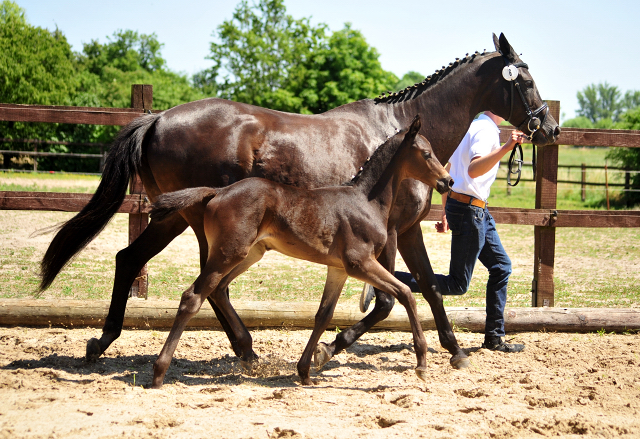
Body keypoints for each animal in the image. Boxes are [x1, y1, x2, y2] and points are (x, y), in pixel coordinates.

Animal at [148, 117, 452, 388]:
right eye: (426, 154)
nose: (447, 182)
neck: (366, 201)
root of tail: (218, 191)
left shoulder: (338, 269)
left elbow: (323, 315)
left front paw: (306, 369)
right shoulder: (360, 263)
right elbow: (406, 293)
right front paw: (422, 364)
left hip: (249, 253)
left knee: (218, 290)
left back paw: (246, 351)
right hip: (228, 253)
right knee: (193, 297)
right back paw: (159, 373)